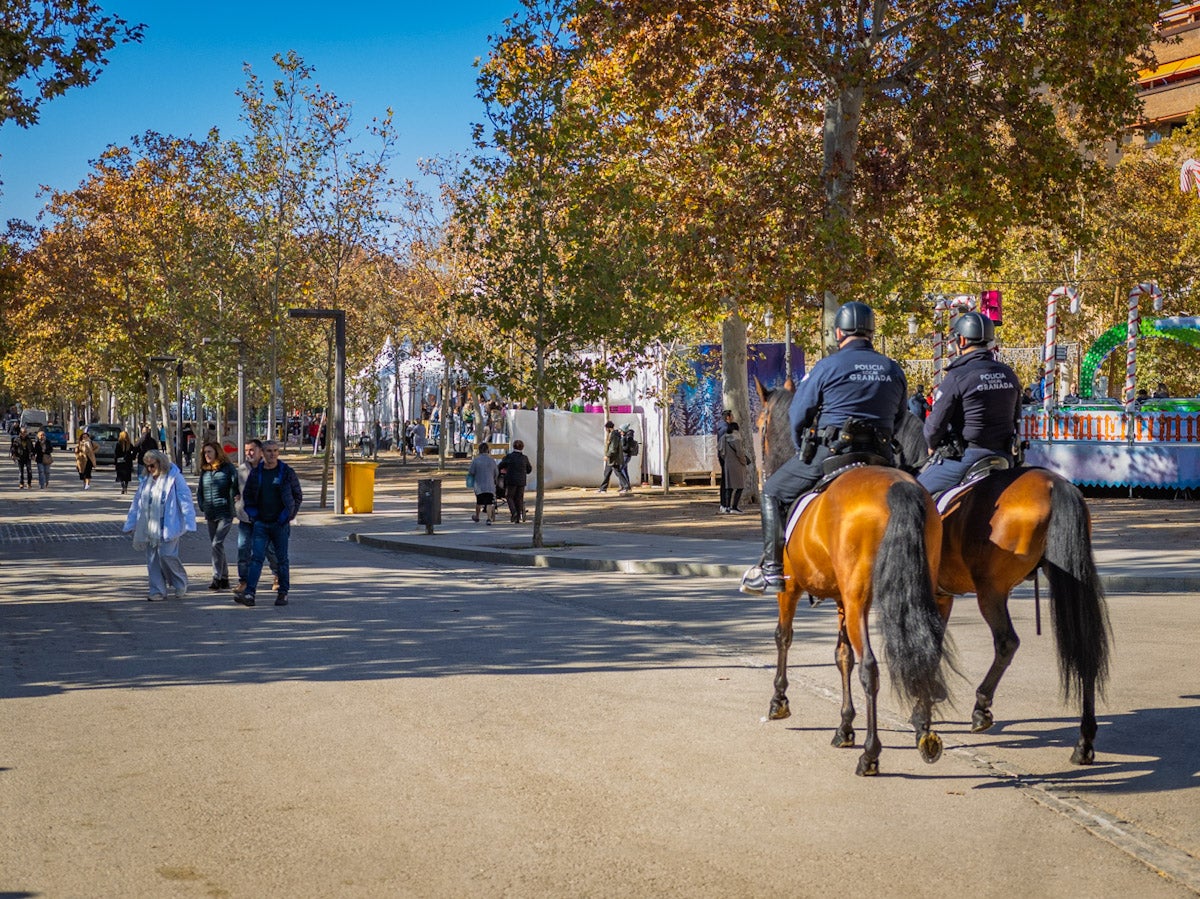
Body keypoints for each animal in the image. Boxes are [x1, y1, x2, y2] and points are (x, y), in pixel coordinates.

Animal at [758, 381, 945, 772]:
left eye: (760, 425)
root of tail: (899, 487)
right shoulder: (842, 600)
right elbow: (841, 655)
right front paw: (844, 726)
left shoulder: (790, 588)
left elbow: (783, 636)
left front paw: (779, 700)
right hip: (913, 593)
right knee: (926, 654)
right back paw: (925, 733)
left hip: (860, 600)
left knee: (870, 667)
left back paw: (871, 754)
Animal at [897, 410, 1108, 763]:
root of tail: (1055, 486)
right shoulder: (942, 595)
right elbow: (934, 643)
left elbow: (929, 644)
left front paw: (922, 709)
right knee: (1084, 646)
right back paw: (1084, 741)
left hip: (991, 592)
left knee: (1006, 642)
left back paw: (981, 707)